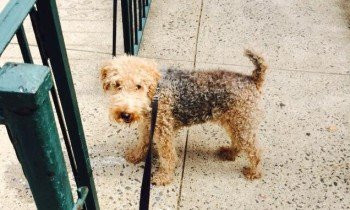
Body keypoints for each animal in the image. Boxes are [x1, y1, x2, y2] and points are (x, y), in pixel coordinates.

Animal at [100, 50, 270, 185]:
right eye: (117, 84)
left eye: (138, 86)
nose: (125, 114)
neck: (155, 93)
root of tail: (253, 79)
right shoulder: (148, 125)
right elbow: (142, 142)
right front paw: (136, 156)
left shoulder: (164, 132)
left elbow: (168, 157)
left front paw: (163, 177)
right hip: (234, 122)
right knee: (239, 143)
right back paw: (229, 153)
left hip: (243, 124)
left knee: (255, 151)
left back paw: (253, 172)